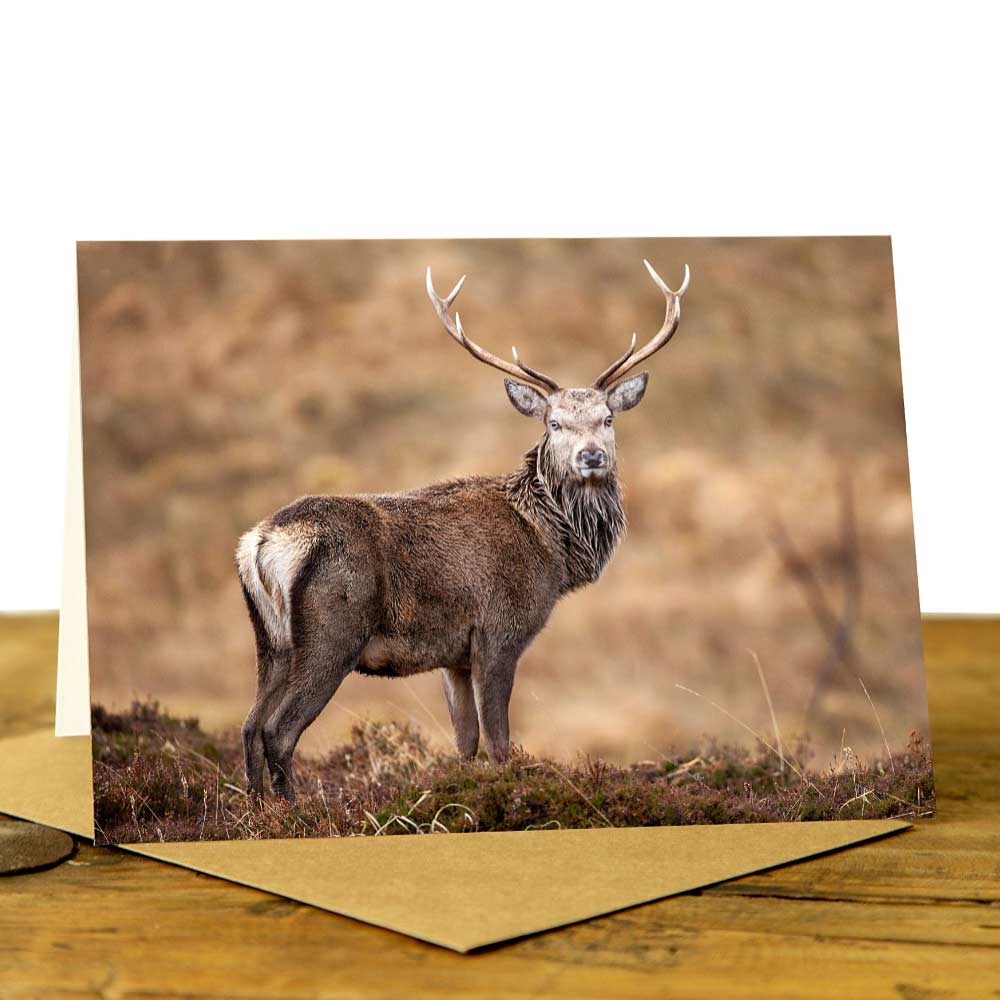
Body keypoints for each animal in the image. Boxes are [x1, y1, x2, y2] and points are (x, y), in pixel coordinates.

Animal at [236, 260, 690, 801]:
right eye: (554, 423)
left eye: (607, 418)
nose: (592, 456)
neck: (552, 550)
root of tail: (261, 543)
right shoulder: (500, 632)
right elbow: (499, 744)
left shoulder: (454, 654)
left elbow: (465, 743)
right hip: (332, 632)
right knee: (278, 730)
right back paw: (294, 811)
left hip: (270, 641)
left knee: (248, 725)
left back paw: (259, 811)